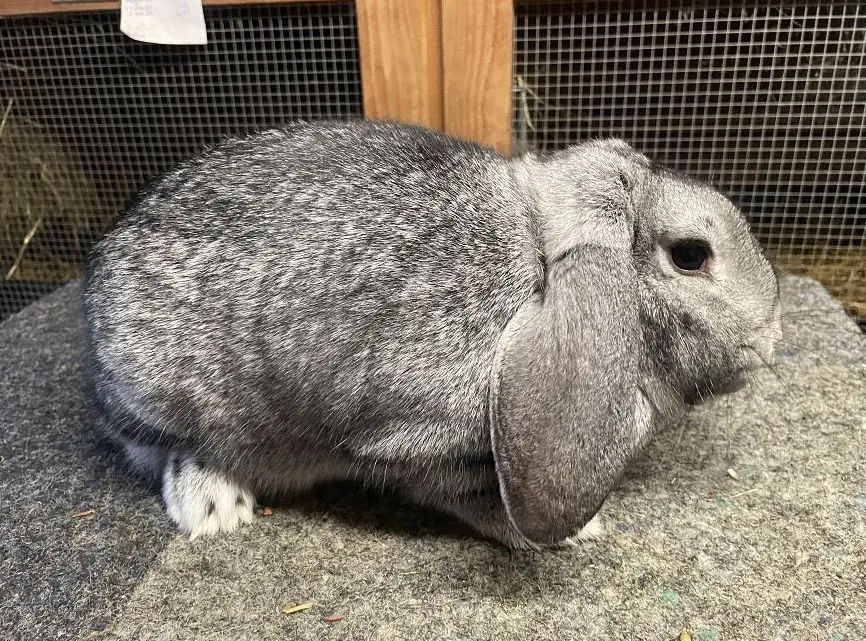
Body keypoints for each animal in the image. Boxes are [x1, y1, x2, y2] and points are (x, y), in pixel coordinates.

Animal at [81, 119, 782, 549]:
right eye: (690, 255)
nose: (772, 335)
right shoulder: (423, 447)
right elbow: (465, 493)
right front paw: (571, 533)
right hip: (167, 396)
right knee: (166, 450)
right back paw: (216, 508)